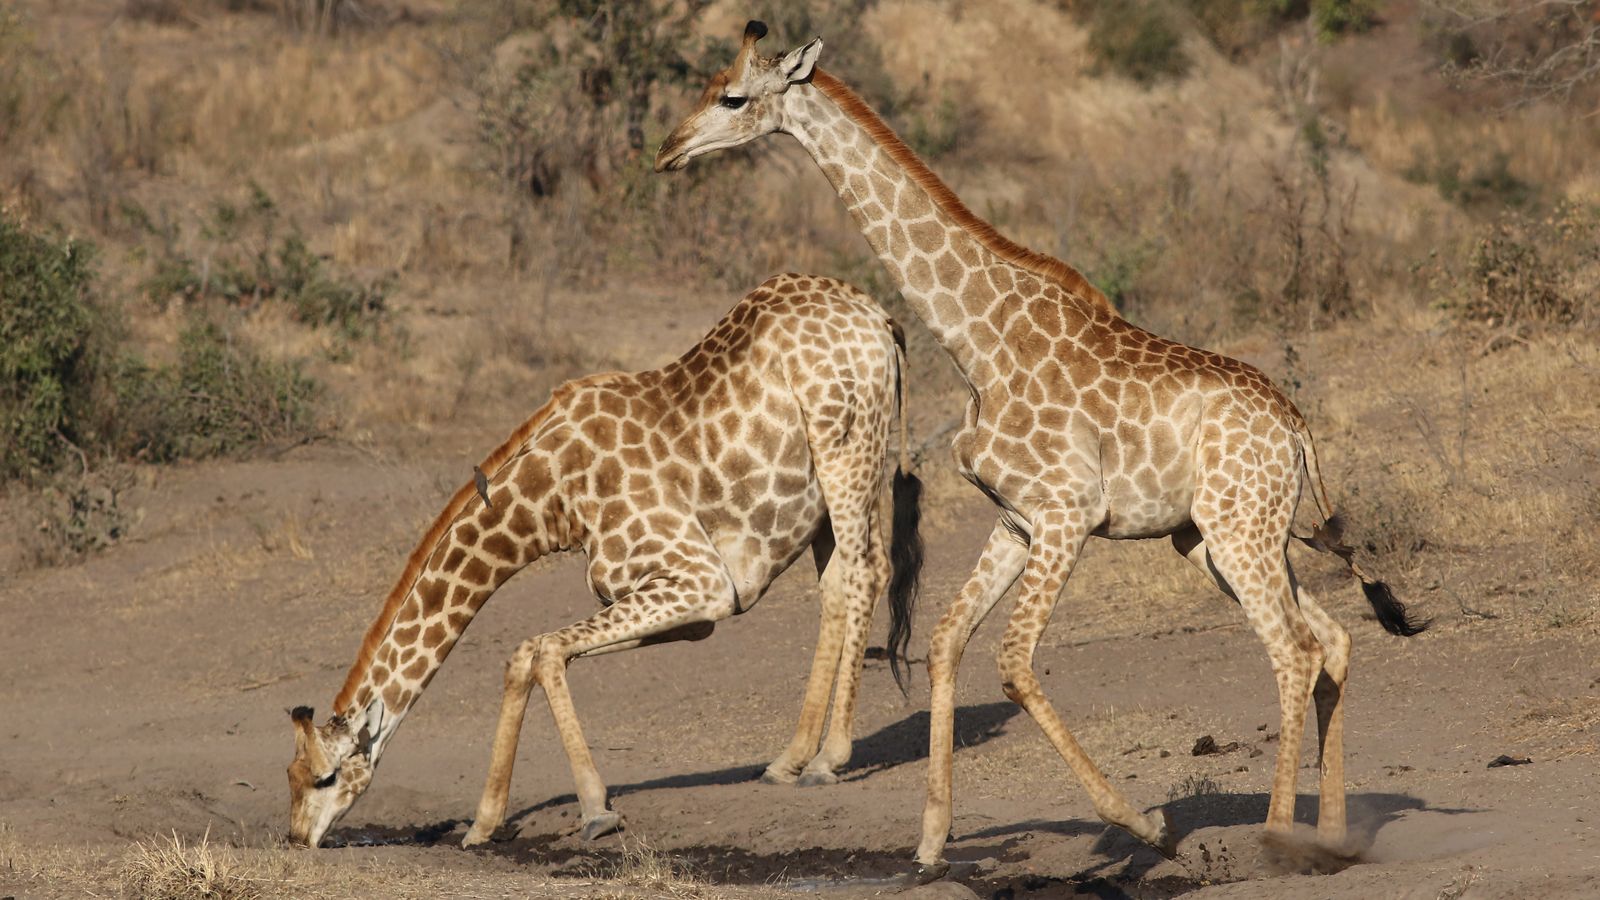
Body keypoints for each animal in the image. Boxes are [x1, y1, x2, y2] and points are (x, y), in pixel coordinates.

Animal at [286, 273, 924, 849]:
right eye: (289, 776)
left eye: (325, 777)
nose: (297, 838)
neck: (552, 501)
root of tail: (881, 319)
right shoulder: (674, 607)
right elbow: (529, 653)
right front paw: (484, 825)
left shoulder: (700, 580)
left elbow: (544, 649)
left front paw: (596, 812)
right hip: (824, 495)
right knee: (839, 584)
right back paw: (789, 759)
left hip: (847, 451)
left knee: (867, 571)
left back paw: (828, 760)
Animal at [656, 21, 1428, 880]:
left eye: (732, 97)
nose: (669, 149)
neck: (978, 339)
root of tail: (1296, 427)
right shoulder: (1016, 520)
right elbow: (947, 641)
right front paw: (930, 846)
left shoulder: (1068, 511)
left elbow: (1016, 663)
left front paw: (1146, 825)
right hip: (1222, 539)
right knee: (1333, 640)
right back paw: (1331, 838)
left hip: (1239, 534)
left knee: (1294, 652)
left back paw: (1276, 838)